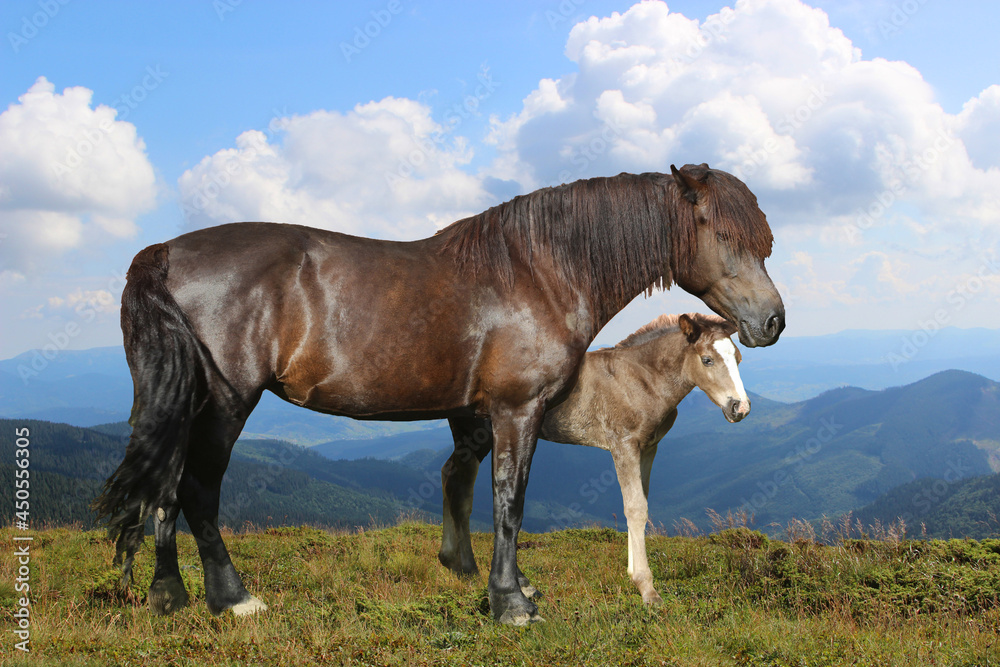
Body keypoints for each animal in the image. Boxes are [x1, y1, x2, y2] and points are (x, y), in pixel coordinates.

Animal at [438, 312, 749, 605]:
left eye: (739, 358)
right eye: (707, 360)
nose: (740, 408)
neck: (641, 379)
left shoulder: (649, 447)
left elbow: (641, 503)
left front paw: (632, 572)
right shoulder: (624, 445)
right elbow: (635, 508)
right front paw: (647, 589)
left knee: (451, 474)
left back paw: (454, 562)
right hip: (478, 434)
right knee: (458, 483)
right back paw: (468, 567)